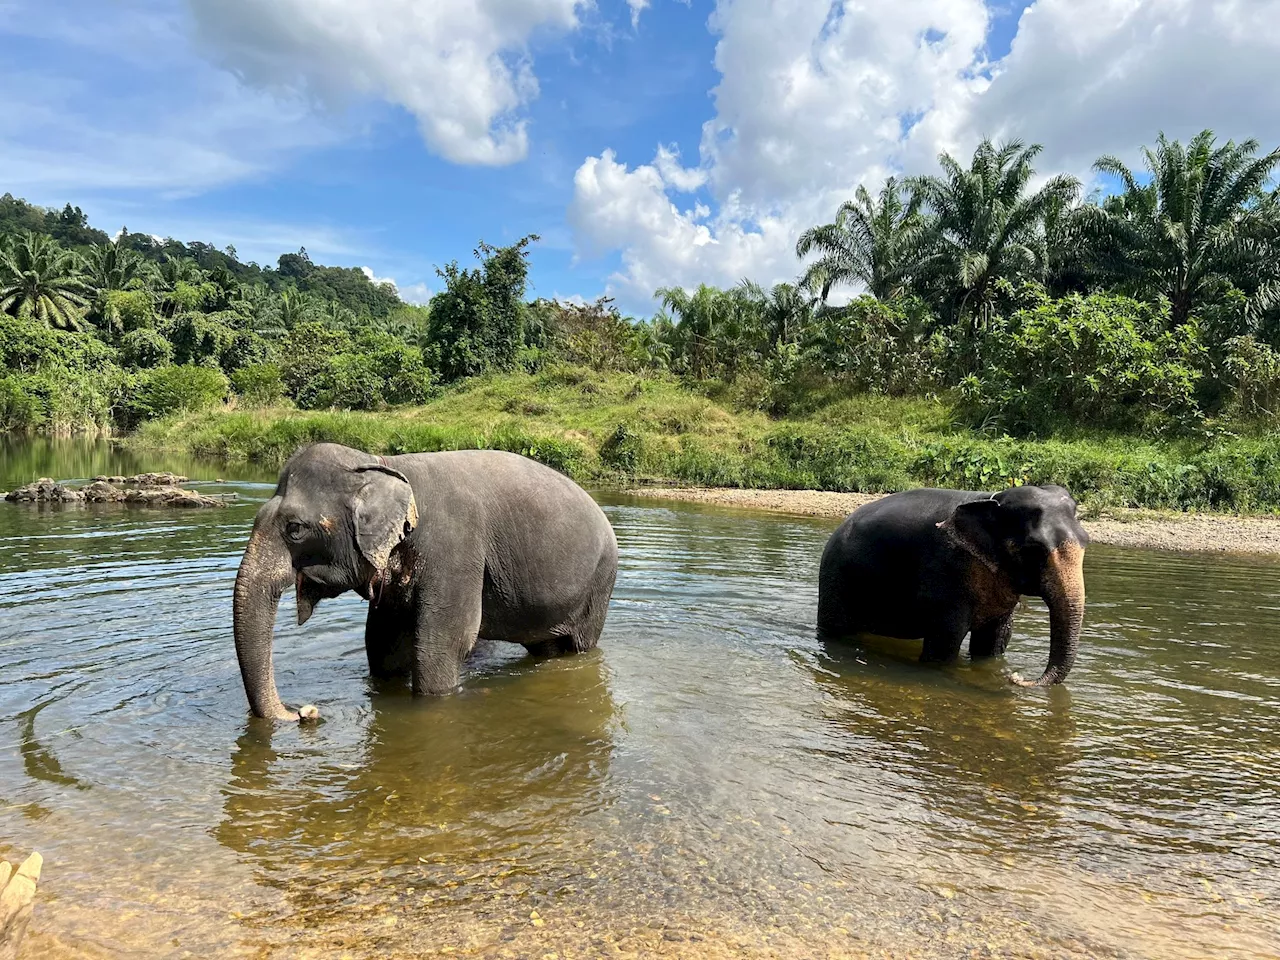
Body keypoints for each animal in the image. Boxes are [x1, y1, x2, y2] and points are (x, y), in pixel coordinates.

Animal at [238, 442, 622, 721]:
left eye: (295, 529)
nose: (303, 713)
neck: (381, 464)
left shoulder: (454, 551)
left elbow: (444, 644)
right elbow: (382, 643)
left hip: (598, 586)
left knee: (579, 646)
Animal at [819, 488, 1090, 686]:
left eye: (1086, 540)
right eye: (1033, 551)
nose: (1016, 678)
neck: (992, 499)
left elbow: (994, 642)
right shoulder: (946, 574)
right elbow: (945, 641)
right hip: (837, 581)